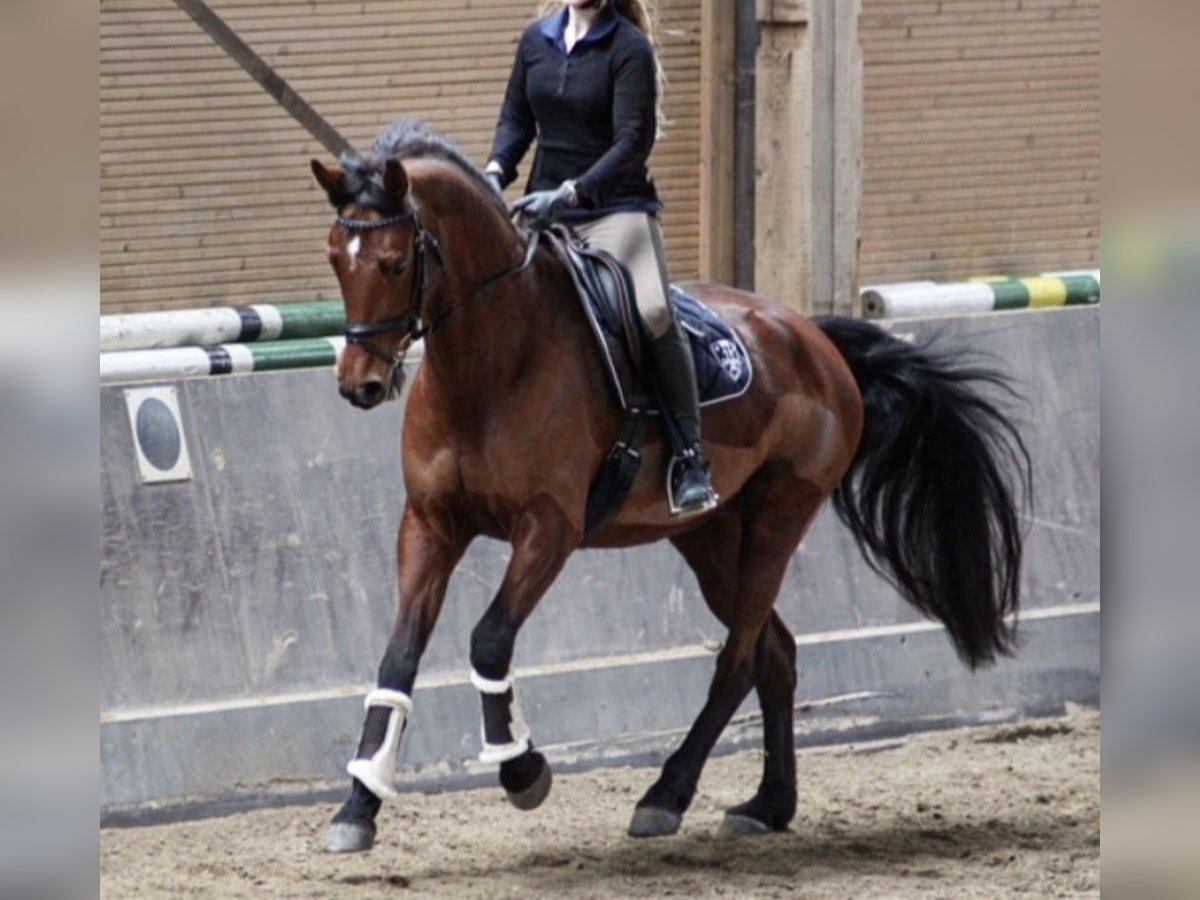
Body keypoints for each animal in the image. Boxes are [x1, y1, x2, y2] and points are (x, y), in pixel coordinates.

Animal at [309, 121, 1032, 854]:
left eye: (394, 263)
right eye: (337, 258)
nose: (359, 385)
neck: (489, 364)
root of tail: (813, 337)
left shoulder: (550, 527)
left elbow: (488, 640)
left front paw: (522, 772)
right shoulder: (430, 523)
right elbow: (397, 658)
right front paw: (357, 806)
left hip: (776, 520)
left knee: (739, 660)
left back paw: (665, 795)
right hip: (710, 538)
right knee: (774, 653)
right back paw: (767, 804)